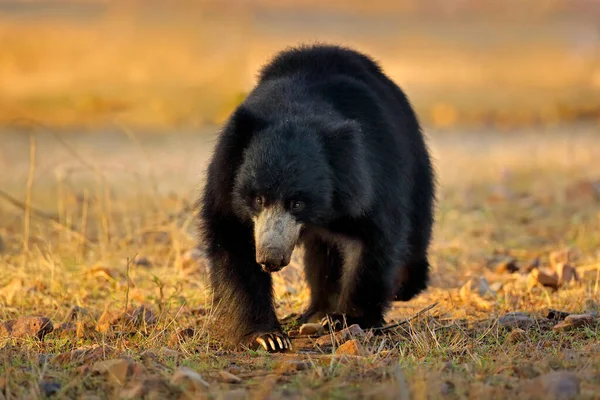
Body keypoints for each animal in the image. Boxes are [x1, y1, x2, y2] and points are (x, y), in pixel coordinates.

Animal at [199, 42, 434, 352]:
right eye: (258, 198)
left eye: (298, 203)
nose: (270, 258)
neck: (295, 108)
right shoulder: (226, 179)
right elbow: (234, 242)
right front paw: (267, 337)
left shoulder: (370, 174)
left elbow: (374, 239)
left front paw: (346, 320)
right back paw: (315, 311)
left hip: (416, 165)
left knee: (415, 231)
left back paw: (403, 287)